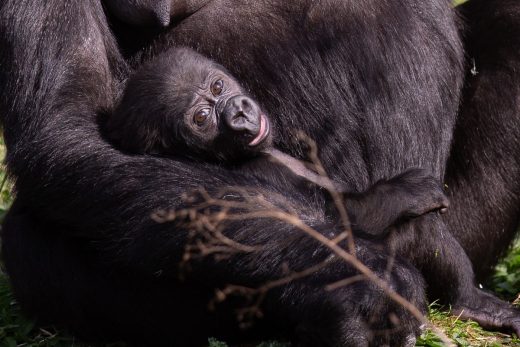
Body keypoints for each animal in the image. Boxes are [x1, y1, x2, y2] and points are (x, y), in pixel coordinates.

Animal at [104, 47, 446, 237]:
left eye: (218, 86)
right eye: (202, 117)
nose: (239, 111)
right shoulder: (259, 174)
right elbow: (337, 221)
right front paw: (406, 191)